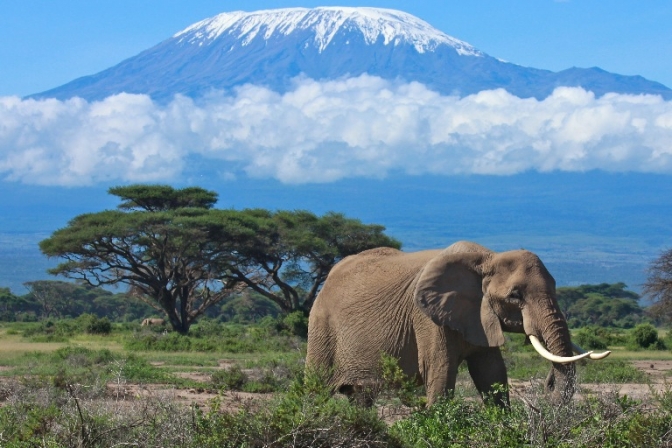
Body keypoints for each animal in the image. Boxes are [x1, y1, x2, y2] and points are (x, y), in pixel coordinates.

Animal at [308, 242, 612, 406]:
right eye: (515, 295)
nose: (548, 384)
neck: (488, 259)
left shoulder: (480, 316)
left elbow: (492, 374)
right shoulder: (426, 318)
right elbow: (441, 373)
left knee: (361, 397)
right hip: (321, 326)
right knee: (316, 389)